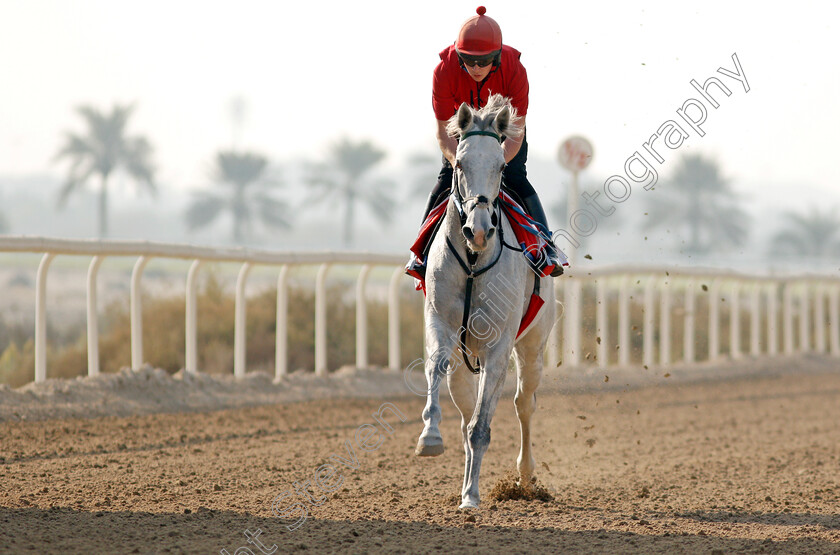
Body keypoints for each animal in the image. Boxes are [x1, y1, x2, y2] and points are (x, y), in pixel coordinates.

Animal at [416, 93, 556, 510]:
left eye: (500, 166)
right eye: (460, 163)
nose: (478, 231)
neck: (475, 261)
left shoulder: (498, 345)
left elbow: (483, 427)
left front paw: (473, 497)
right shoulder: (440, 322)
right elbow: (434, 367)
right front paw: (430, 438)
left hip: (532, 347)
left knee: (523, 403)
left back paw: (524, 477)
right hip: (466, 365)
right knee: (464, 414)